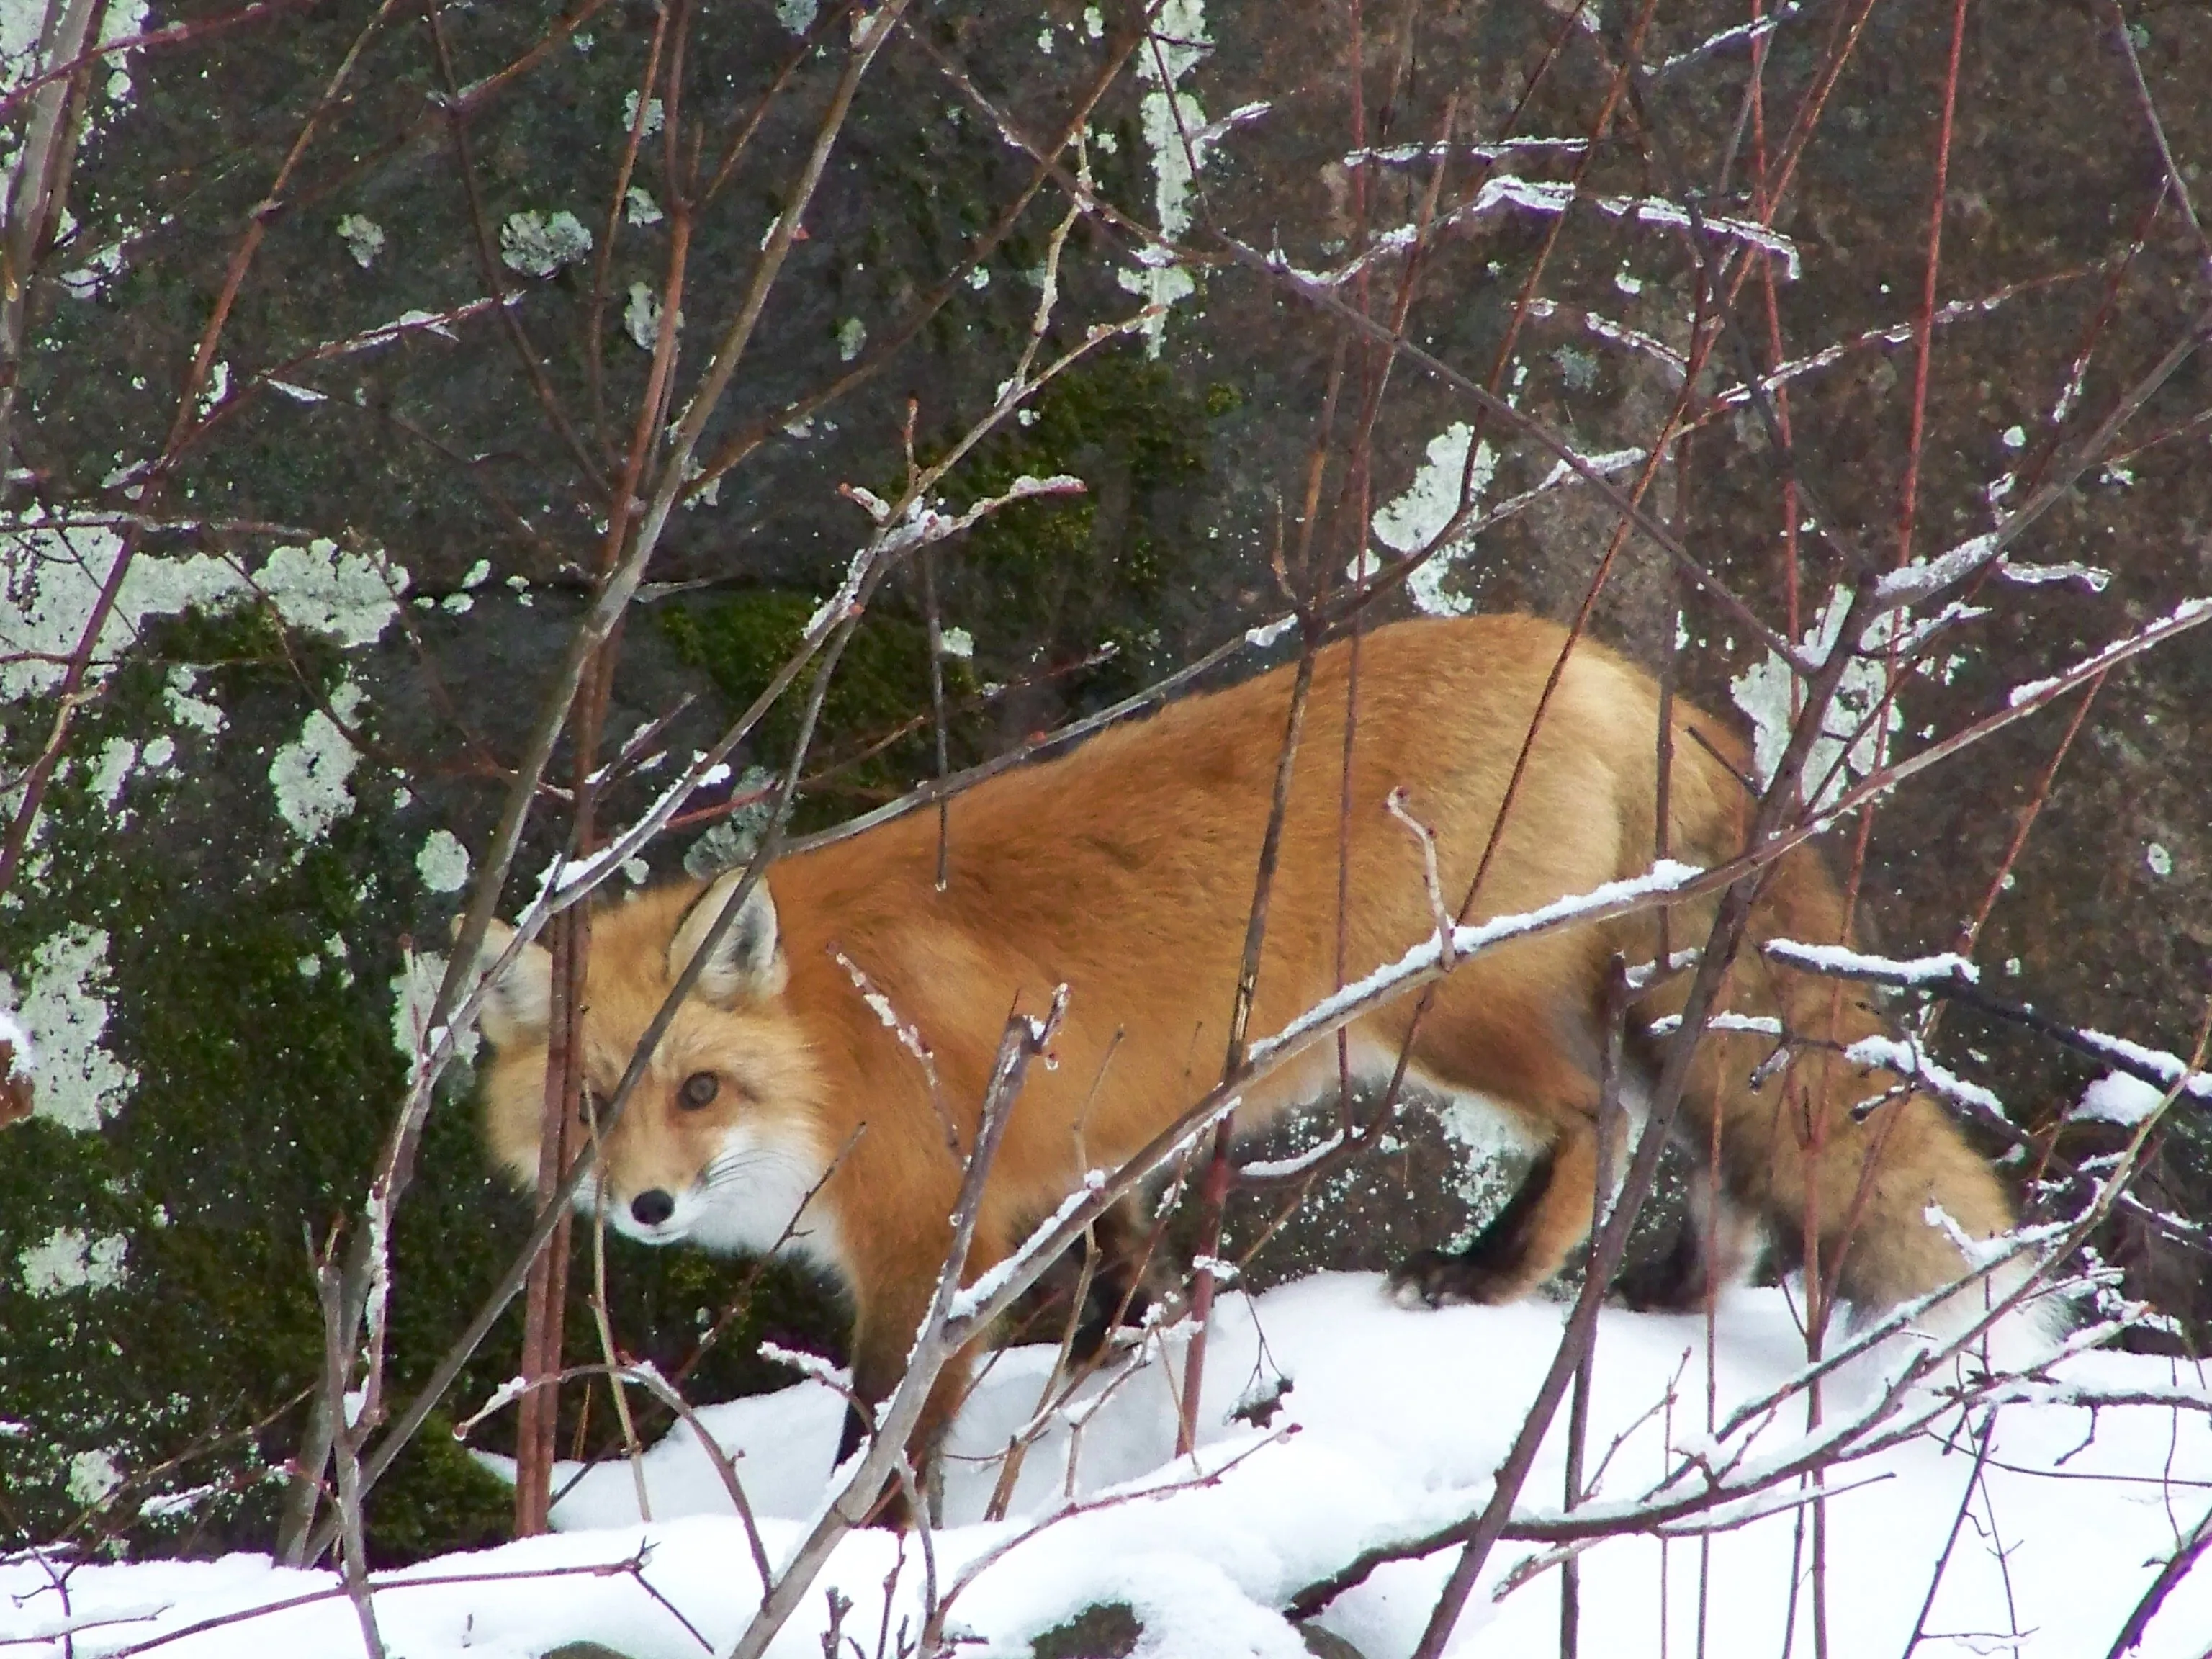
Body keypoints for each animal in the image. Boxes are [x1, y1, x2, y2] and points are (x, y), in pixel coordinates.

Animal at [471, 613, 2034, 1510]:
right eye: (592, 1103)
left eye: (697, 1089)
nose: (645, 1208)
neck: (834, 1045)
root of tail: (1590, 657)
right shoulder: (1075, 1142)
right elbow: (1125, 1265)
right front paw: (1115, 1359)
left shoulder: (928, 1240)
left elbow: (885, 1432)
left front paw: (859, 1549)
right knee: (1696, 1141)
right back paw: (1668, 1291)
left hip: (1442, 1009)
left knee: (1598, 1121)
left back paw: (1484, 1273)